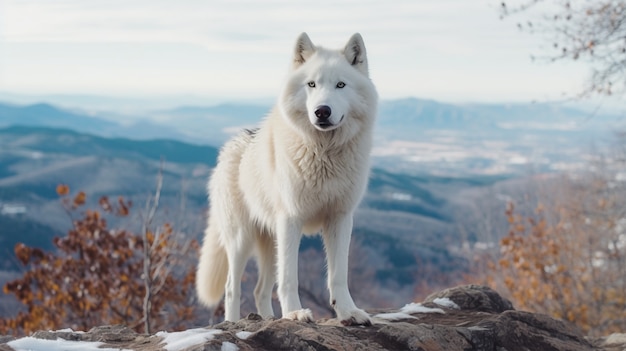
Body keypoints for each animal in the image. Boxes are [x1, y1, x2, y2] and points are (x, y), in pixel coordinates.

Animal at [196, 33, 376, 328]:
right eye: (311, 84)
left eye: (340, 85)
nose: (322, 111)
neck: (324, 154)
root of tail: (233, 144)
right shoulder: (292, 219)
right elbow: (290, 277)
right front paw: (294, 313)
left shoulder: (340, 218)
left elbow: (338, 275)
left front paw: (348, 312)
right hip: (241, 240)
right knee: (232, 288)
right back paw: (234, 323)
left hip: (271, 244)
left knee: (260, 290)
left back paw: (268, 318)